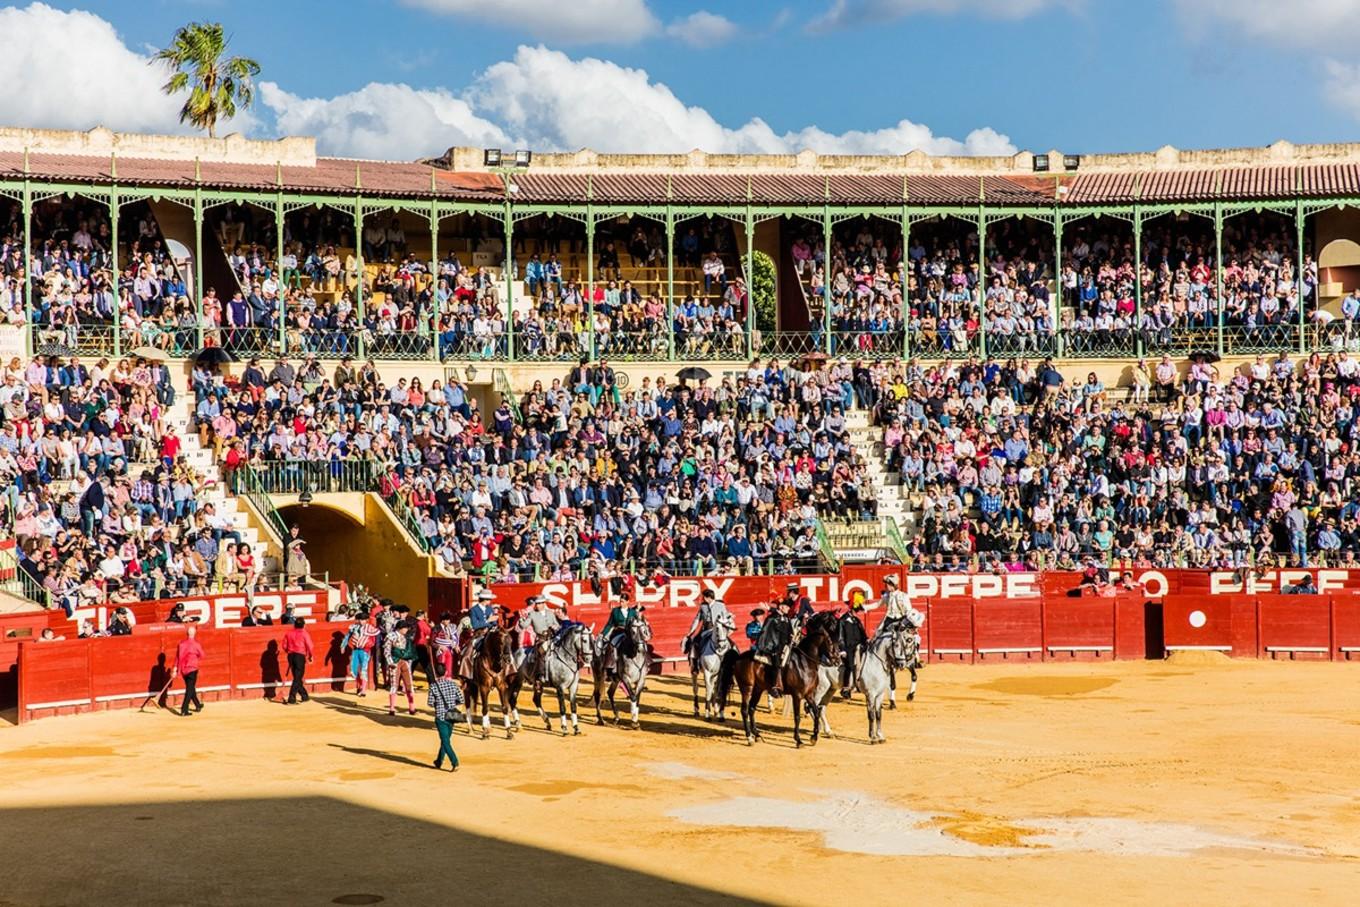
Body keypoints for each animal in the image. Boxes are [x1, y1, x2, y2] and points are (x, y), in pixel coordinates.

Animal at [723, 620, 837, 750]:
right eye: (829, 641)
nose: (836, 659)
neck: (804, 663)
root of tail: (738, 657)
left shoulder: (809, 695)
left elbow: (816, 712)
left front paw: (813, 738)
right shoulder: (797, 695)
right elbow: (797, 717)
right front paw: (799, 741)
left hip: (758, 689)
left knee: (751, 708)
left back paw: (757, 735)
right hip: (747, 688)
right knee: (744, 710)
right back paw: (749, 738)